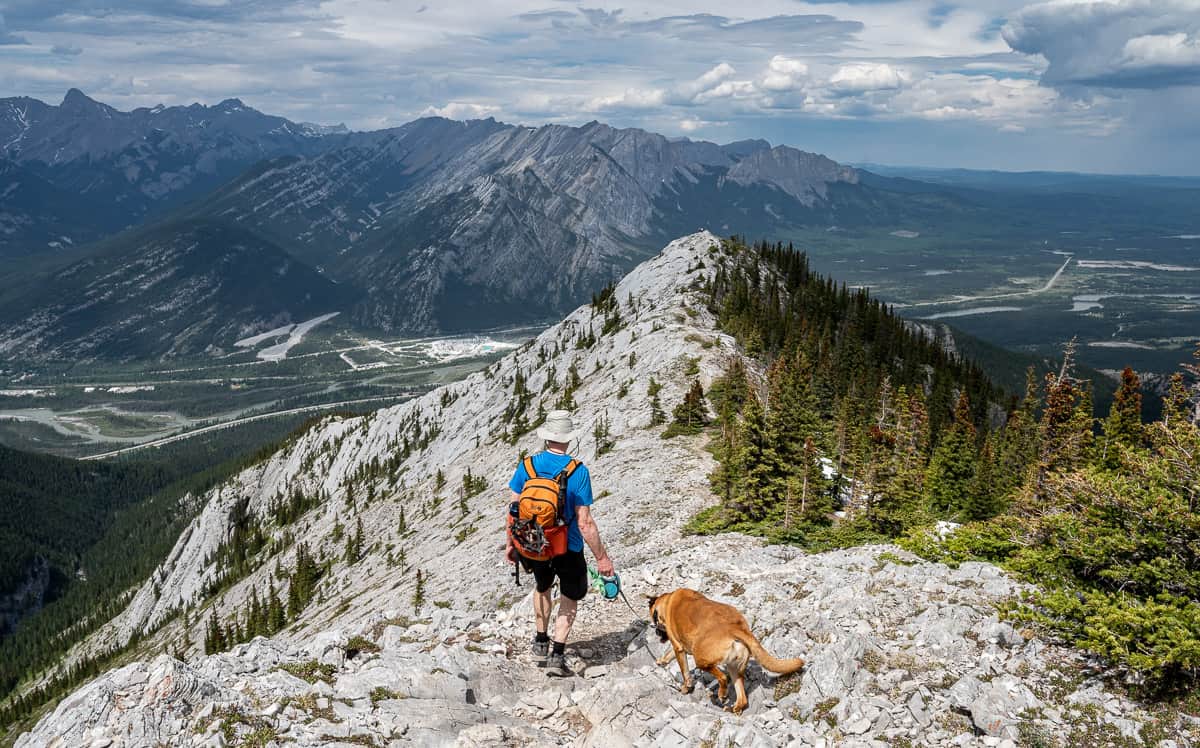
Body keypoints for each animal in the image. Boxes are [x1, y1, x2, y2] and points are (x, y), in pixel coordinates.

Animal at [648, 590, 806, 715]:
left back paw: (722, 694)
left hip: (702, 659)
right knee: (742, 698)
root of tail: (733, 627)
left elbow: (685, 671)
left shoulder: (678, 647)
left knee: (722, 677)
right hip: (735, 668)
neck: (668, 600)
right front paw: (661, 660)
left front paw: (686, 687)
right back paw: (734, 708)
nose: (656, 632)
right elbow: (669, 655)